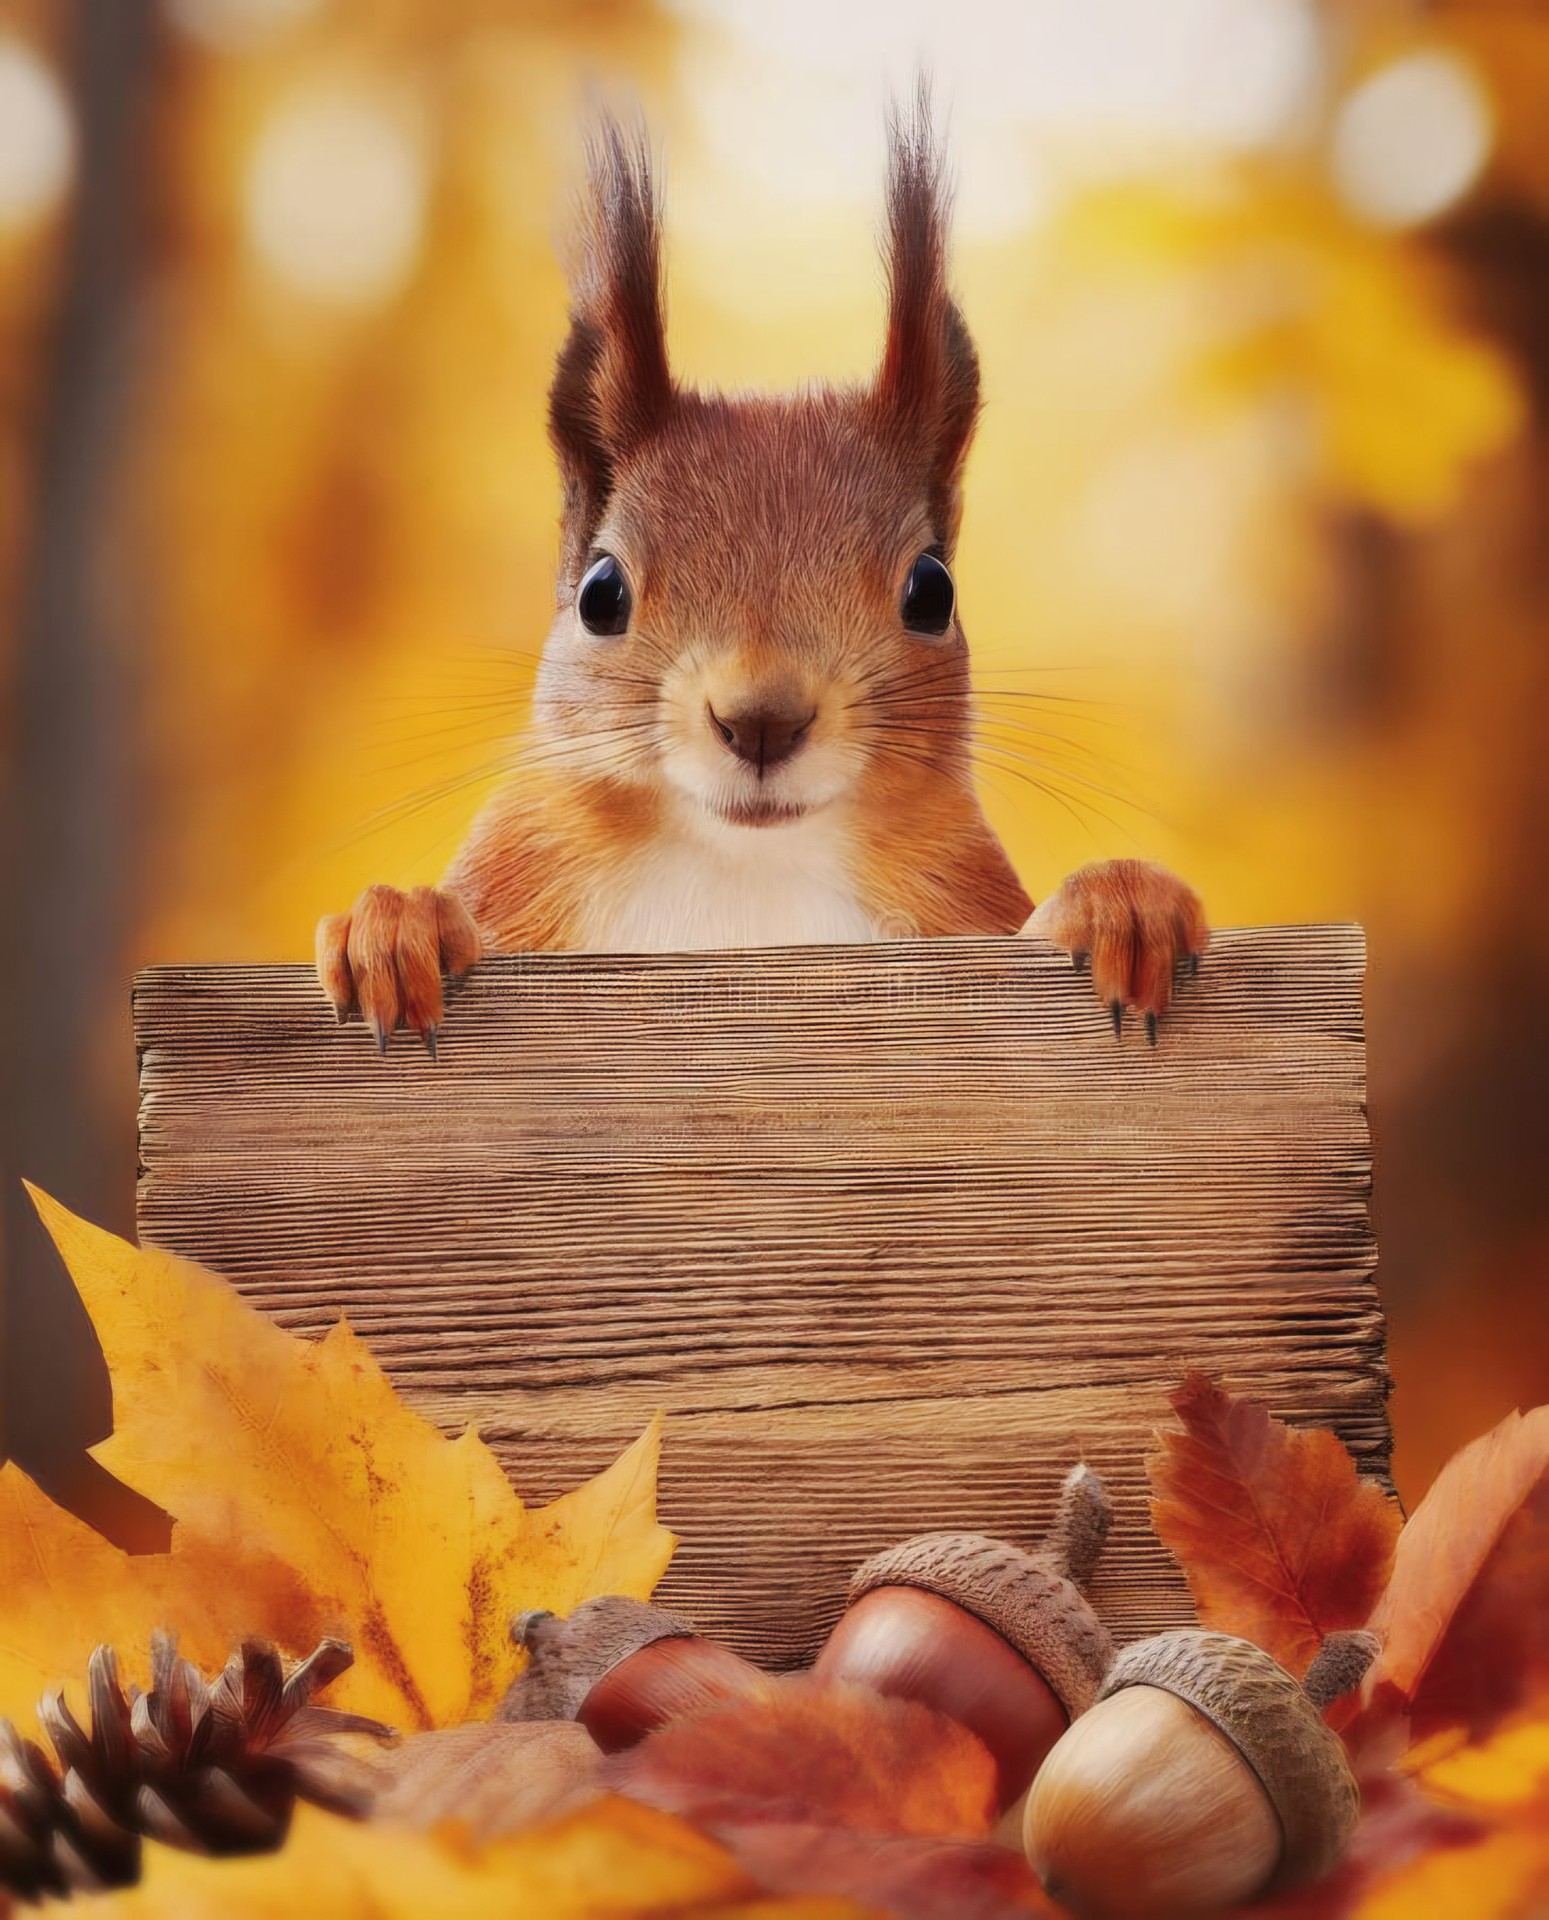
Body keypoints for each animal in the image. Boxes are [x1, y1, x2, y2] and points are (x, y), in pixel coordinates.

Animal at [315, 100, 1208, 1053]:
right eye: (601, 594)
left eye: (931, 590)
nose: (761, 721)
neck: (742, 866)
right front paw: (394, 923)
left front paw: (1121, 901)